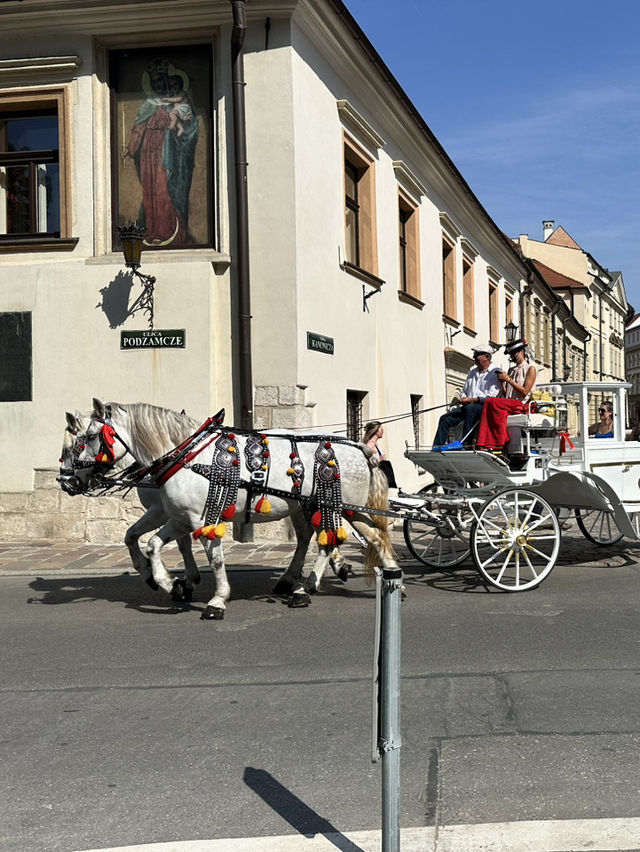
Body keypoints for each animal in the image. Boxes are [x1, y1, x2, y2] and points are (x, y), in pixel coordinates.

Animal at [75, 400, 396, 620]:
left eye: (89, 437)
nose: (72, 478)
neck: (187, 457)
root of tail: (359, 447)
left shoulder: (201, 518)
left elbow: (215, 558)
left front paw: (216, 600)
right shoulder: (180, 518)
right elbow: (151, 544)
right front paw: (166, 582)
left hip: (338, 506)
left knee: (344, 540)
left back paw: (316, 587)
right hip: (322, 507)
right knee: (341, 539)